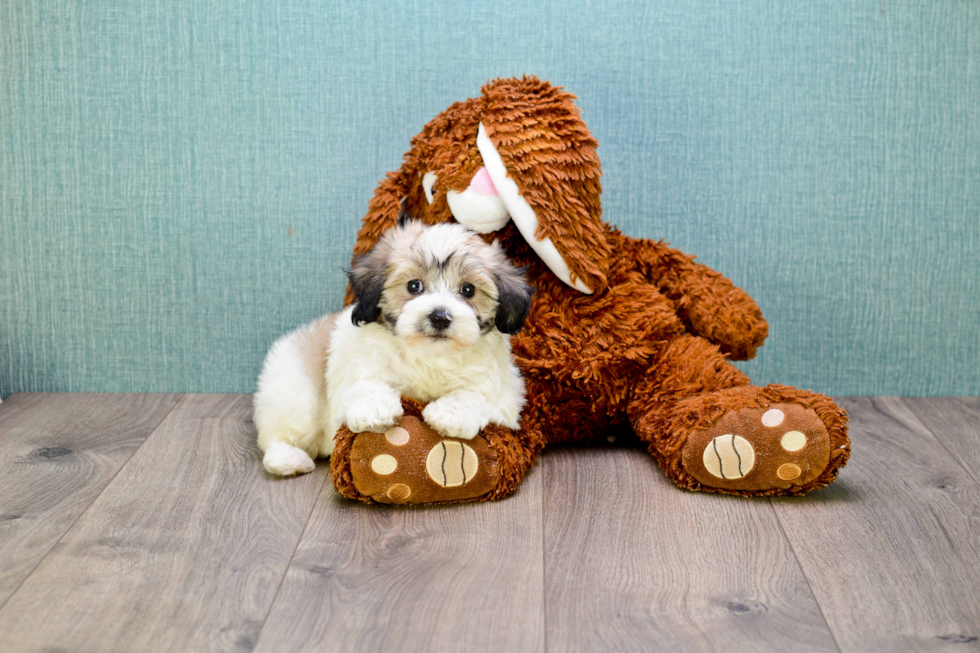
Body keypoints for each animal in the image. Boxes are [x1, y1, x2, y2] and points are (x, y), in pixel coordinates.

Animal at [253, 219, 528, 474]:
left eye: (468, 289)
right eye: (414, 286)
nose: (439, 317)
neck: (429, 356)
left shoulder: (507, 392)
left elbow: (477, 394)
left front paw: (449, 414)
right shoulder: (357, 369)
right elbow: (368, 384)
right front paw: (375, 409)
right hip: (296, 394)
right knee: (277, 436)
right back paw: (290, 459)